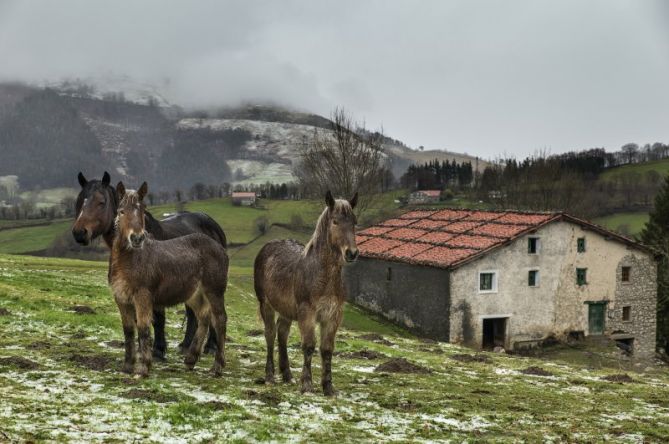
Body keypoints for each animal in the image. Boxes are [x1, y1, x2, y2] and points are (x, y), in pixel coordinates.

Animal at [72, 172, 224, 360]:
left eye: (101, 202)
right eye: (80, 200)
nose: (79, 232)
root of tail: (213, 225)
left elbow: (157, 318)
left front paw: (158, 351)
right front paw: (141, 349)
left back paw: (211, 346)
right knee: (192, 313)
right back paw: (186, 345)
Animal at [107, 182, 227, 376]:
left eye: (142, 211)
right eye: (121, 211)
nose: (137, 238)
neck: (130, 259)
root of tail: (219, 246)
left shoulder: (142, 297)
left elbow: (143, 329)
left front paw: (143, 367)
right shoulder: (121, 299)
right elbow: (128, 332)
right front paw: (127, 367)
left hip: (214, 292)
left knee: (220, 320)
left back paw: (217, 366)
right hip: (194, 295)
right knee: (203, 318)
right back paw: (190, 360)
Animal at [253, 191, 358, 396]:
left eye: (354, 222)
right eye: (335, 221)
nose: (352, 253)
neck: (323, 277)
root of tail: (267, 246)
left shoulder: (333, 316)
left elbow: (327, 349)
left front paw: (328, 387)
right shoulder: (307, 313)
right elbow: (309, 346)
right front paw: (307, 385)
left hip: (286, 310)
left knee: (282, 334)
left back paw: (287, 375)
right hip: (266, 305)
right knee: (270, 335)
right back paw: (269, 376)